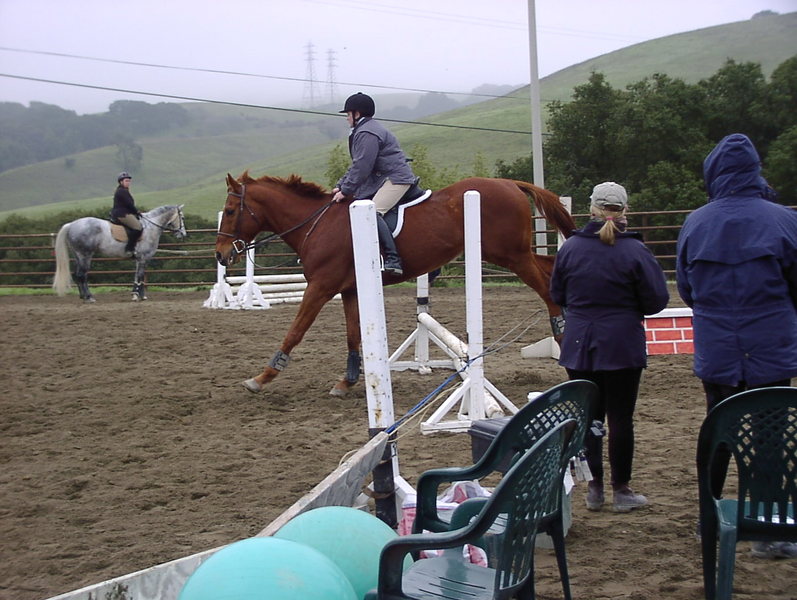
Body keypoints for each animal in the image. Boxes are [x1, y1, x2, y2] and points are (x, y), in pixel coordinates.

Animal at [52, 204, 187, 302]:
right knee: (82, 275)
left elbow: (137, 276)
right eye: (182, 218)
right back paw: (89, 297)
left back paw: (83, 296)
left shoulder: (140, 259)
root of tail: (71, 225)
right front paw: (138, 296)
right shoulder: (143, 258)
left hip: (78, 256)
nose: (183, 234)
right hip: (85, 255)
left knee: (78, 275)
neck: (150, 227)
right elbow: (140, 276)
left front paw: (138, 295)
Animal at [215, 173, 575, 396]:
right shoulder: (349, 289)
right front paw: (347, 381)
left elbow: (295, 331)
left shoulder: (320, 287)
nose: (220, 255)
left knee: (546, 287)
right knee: (550, 268)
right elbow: (353, 334)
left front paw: (261, 377)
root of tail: (510, 184)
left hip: (510, 255)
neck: (316, 224)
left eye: (231, 210)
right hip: (512, 254)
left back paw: (561, 335)